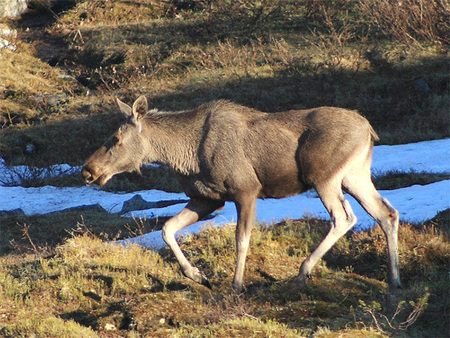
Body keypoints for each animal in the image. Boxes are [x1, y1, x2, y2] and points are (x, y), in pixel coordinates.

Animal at [83, 95, 400, 294]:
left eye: (116, 139)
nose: (88, 170)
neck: (183, 154)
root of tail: (370, 130)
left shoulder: (246, 189)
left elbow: (241, 239)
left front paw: (236, 285)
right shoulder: (207, 198)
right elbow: (167, 229)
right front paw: (198, 275)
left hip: (324, 175)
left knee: (344, 217)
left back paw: (303, 271)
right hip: (355, 175)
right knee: (387, 212)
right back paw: (394, 279)